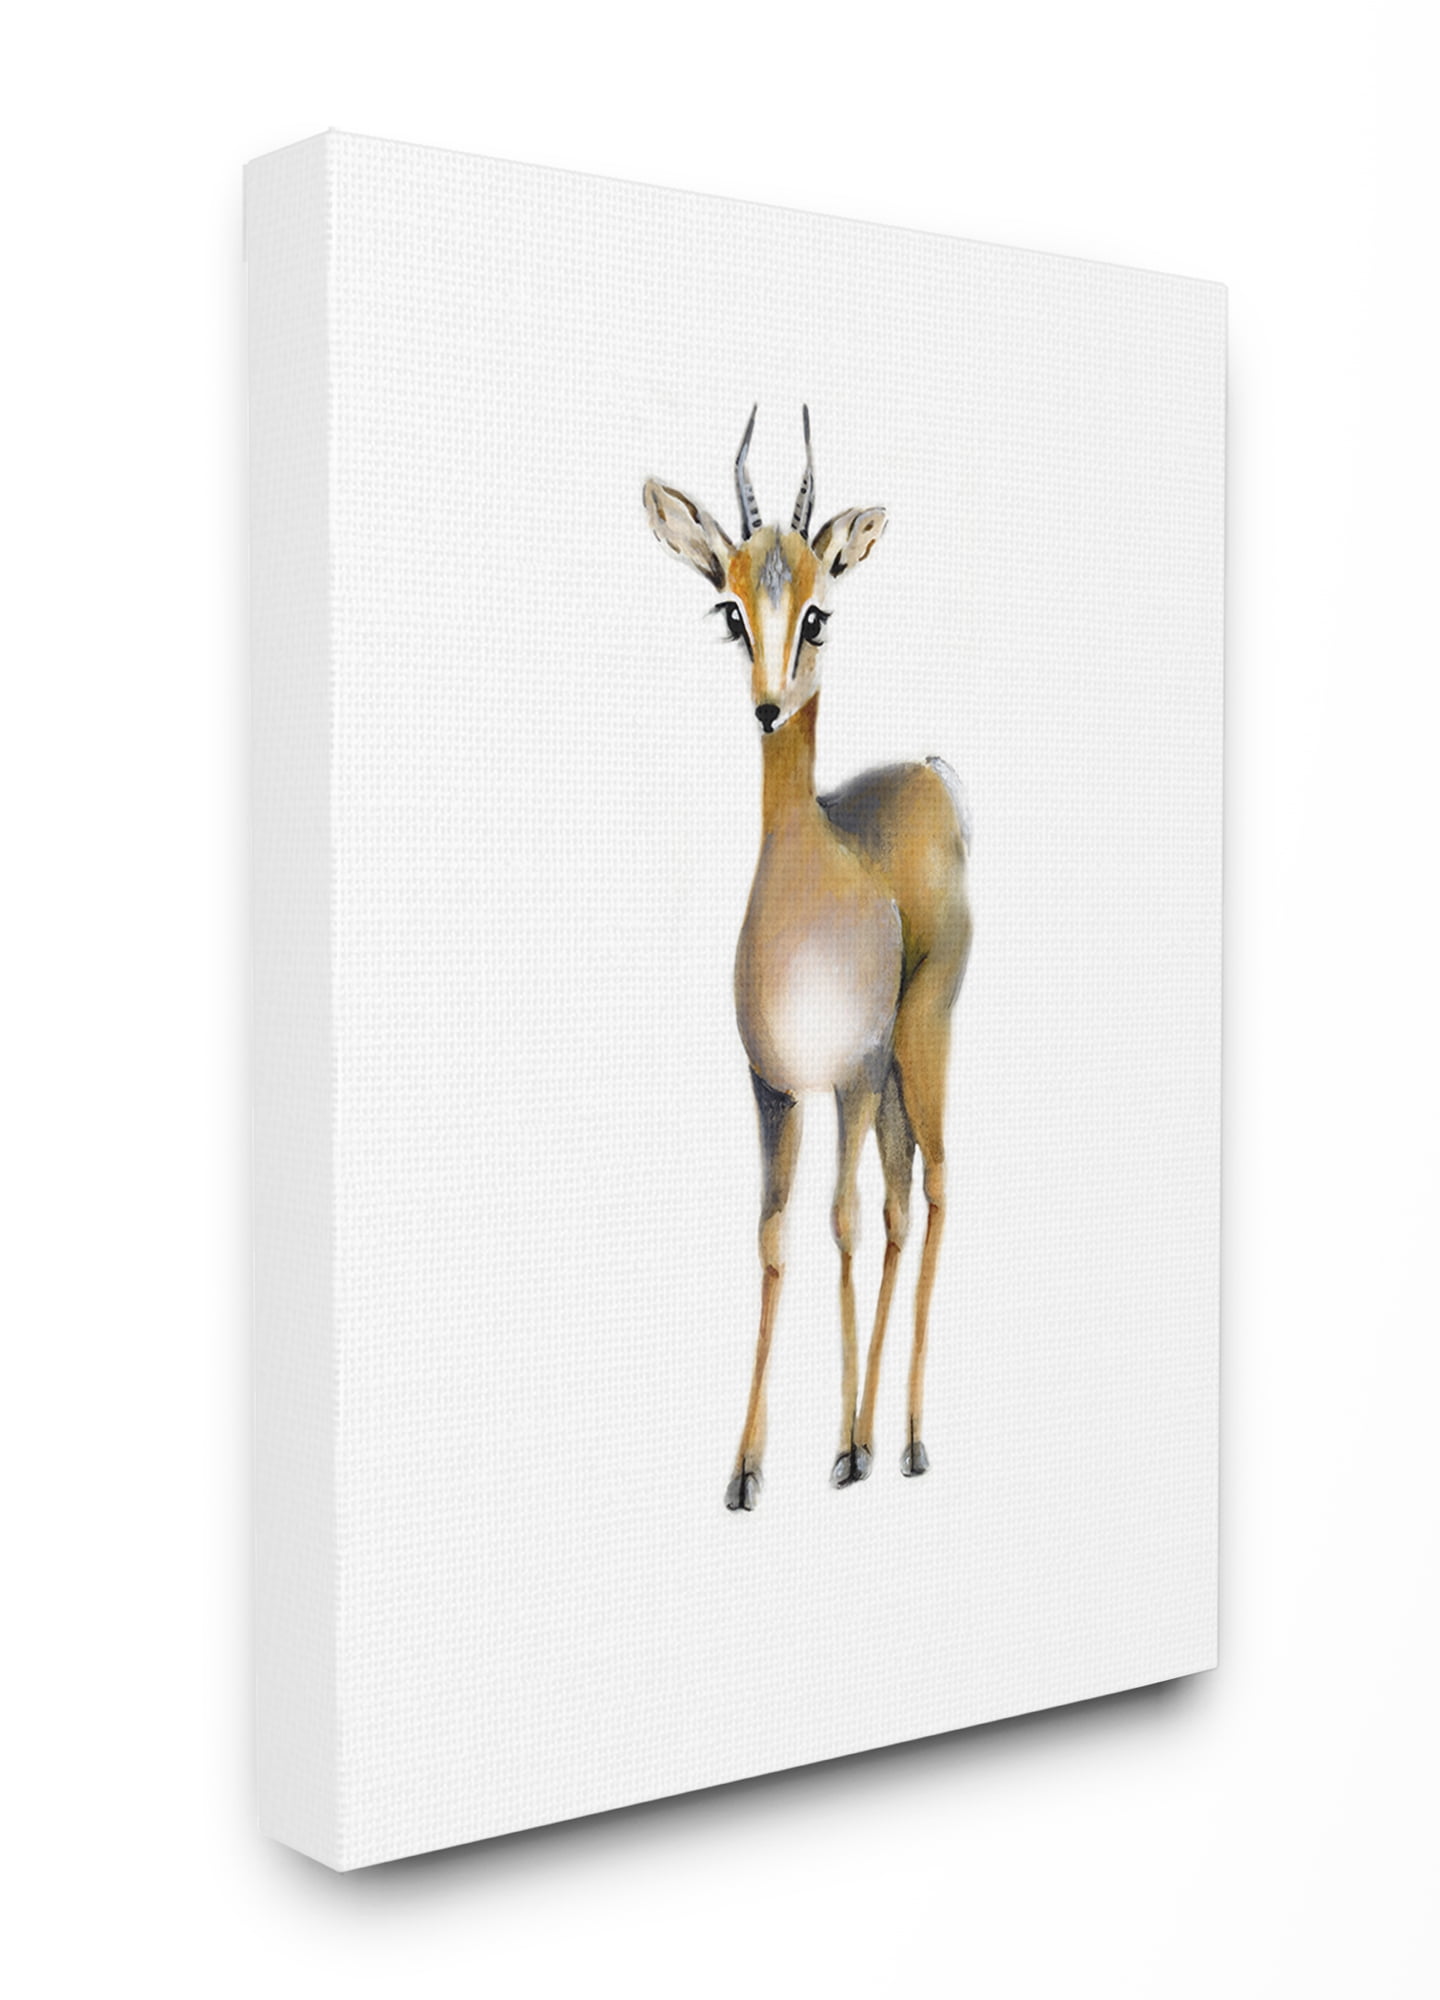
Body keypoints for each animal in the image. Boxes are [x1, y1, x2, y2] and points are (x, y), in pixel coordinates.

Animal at [644, 409, 972, 1510]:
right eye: (731, 608)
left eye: (818, 614)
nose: (768, 706)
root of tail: (932, 772)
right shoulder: (777, 1085)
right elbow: (777, 1232)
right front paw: (747, 1469)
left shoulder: (855, 1073)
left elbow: (841, 1223)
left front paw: (848, 1445)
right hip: (883, 1082)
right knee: (904, 1205)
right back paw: (886, 1441)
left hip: (918, 1046)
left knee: (929, 1193)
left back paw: (903, 1438)